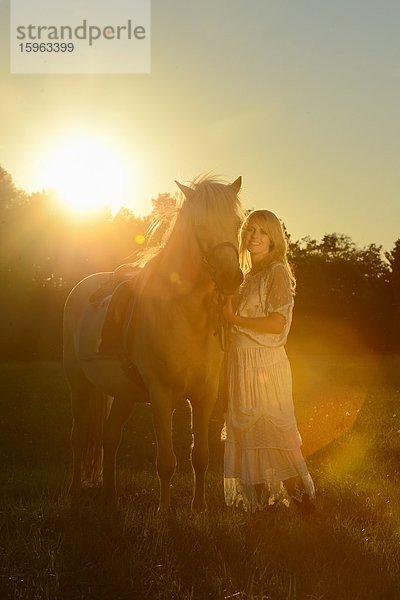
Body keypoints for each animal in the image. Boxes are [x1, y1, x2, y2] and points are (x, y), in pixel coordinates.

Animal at [63, 175, 245, 510]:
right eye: (200, 223)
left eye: (237, 223)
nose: (230, 278)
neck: (184, 315)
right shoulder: (161, 397)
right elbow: (166, 462)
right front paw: (163, 511)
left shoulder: (205, 395)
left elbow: (200, 456)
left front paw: (199, 507)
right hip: (79, 385)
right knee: (78, 436)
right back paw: (75, 491)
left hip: (122, 394)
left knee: (110, 436)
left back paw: (110, 494)